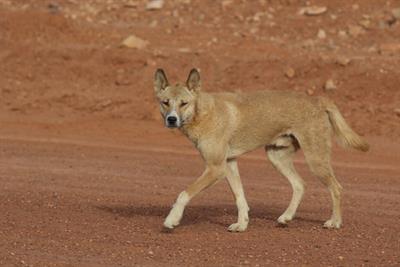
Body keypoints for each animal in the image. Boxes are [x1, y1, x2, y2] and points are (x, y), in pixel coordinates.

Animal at [154, 68, 368, 232]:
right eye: (165, 103)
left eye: (184, 103)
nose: (171, 119)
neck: (203, 113)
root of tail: (318, 100)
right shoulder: (228, 164)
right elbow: (240, 198)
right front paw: (241, 224)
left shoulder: (215, 168)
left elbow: (184, 193)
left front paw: (172, 219)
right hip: (277, 156)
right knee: (300, 185)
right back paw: (286, 217)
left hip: (315, 159)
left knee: (336, 188)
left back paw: (335, 222)